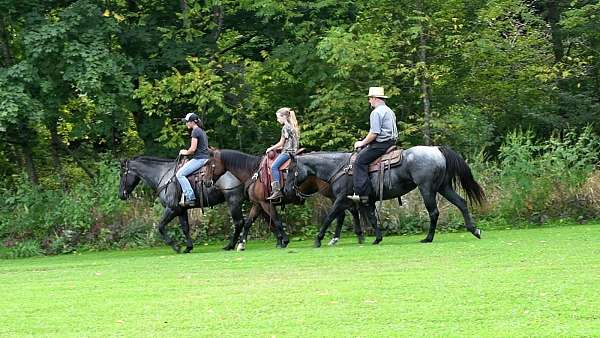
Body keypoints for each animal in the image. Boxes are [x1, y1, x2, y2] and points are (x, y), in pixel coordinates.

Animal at [284, 145, 486, 246]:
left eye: (290, 169)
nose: (285, 190)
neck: (339, 168)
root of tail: (437, 149)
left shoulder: (341, 199)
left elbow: (330, 217)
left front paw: (318, 239)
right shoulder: (366, 201)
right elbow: (373, 218)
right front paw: (377, 238)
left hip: (427, 188)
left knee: (434, 212)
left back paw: (428, 238)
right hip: (443, 187)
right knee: (461, 203)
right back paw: (474, 230)